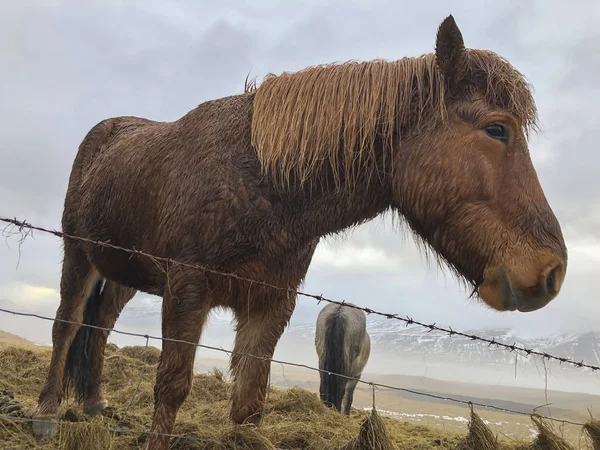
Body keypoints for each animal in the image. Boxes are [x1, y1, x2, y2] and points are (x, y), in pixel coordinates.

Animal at [31, 15, 568, 448]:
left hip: (124, 270)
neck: (263, 181)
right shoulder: (187, 289)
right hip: (79, 253)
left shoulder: (271, 303)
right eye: (497, 129)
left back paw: (93, 402)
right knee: (67, 324)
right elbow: (172, 387)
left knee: (100, 323)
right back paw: (46, 413)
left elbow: (249, 402)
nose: (553, 272)